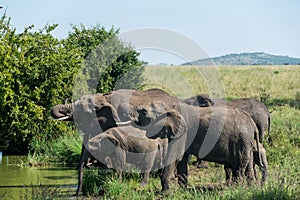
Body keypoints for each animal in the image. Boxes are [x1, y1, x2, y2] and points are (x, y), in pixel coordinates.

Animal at [130, 101, 262, 190]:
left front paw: (165, 193)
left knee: (239, 166)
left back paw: (236, 188)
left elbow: (175, 157)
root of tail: (253, 124)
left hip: (240, 140)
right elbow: (182, 160)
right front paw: (182, 190)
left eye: (144, 112)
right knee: (247, 165)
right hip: (246, 142)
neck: (170, 107)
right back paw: (250, 187)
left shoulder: (182, 132)